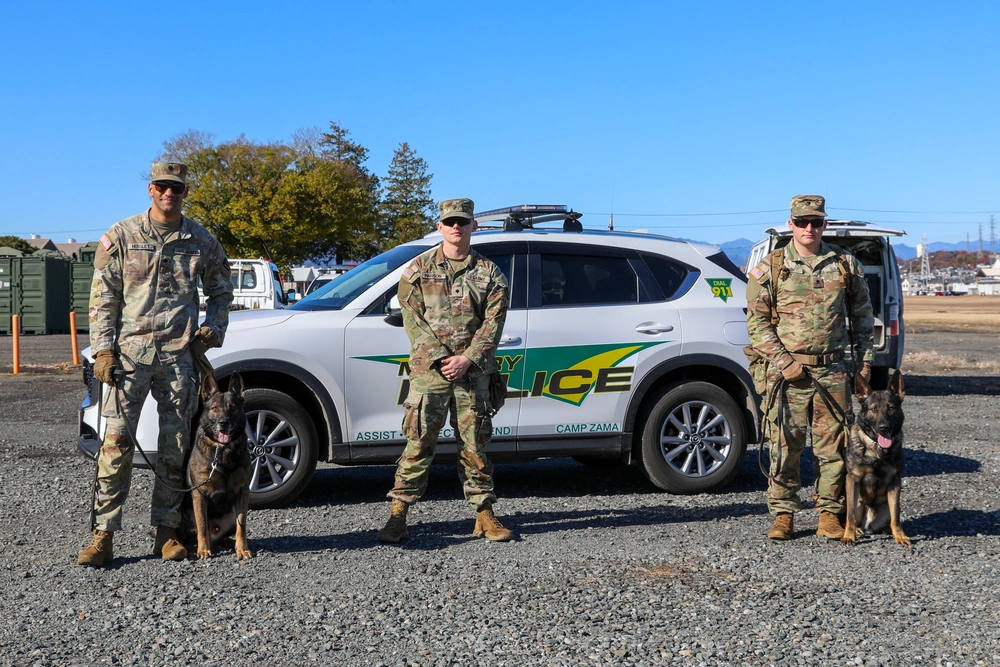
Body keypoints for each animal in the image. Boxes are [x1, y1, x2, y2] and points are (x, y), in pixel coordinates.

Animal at [179, 370, 252, 560]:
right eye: (215, 409)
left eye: (232, 408)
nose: (223, 422)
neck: (223, 449)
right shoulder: (199, 494)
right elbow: (202, 525)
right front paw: (204, 550)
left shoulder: (243, 492)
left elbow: (242, 526)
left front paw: (243, 548)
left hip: (231, 515)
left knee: (225, 536)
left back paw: (232, 544)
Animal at [840, 368, 912, 544]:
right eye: (873, 409)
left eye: (891, 408)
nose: (884, 427)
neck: (877, 450)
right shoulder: (853, 479)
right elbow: (850, 515)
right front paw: (848, 535)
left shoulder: (895, 481)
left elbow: (896, 515)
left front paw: (900, 536)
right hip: (856, 500)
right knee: (852, 515)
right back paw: (857, 529)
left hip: (885, 506)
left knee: (891, 517)